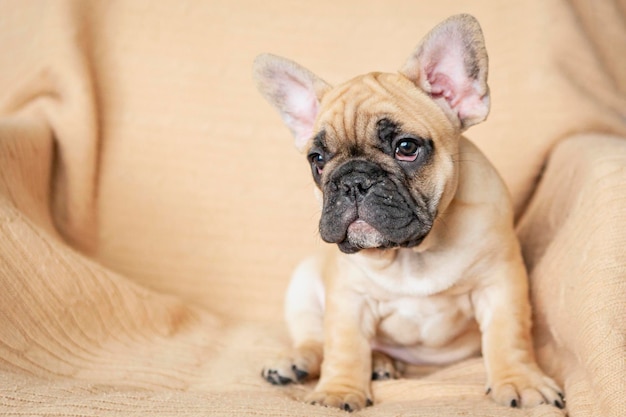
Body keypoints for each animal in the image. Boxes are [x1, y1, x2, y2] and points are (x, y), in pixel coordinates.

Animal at [251, 13, 564, 412]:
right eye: (317, 160)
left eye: (406, 147)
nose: (353, 181)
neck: (413, 253)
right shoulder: (349, 299)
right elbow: (344, 347)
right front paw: (338, 392)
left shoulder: (500, 283)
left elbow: (508, 336)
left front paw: (520, 381)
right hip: (303, 282)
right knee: (313, 338)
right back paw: (296, 361)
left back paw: (382, 363)